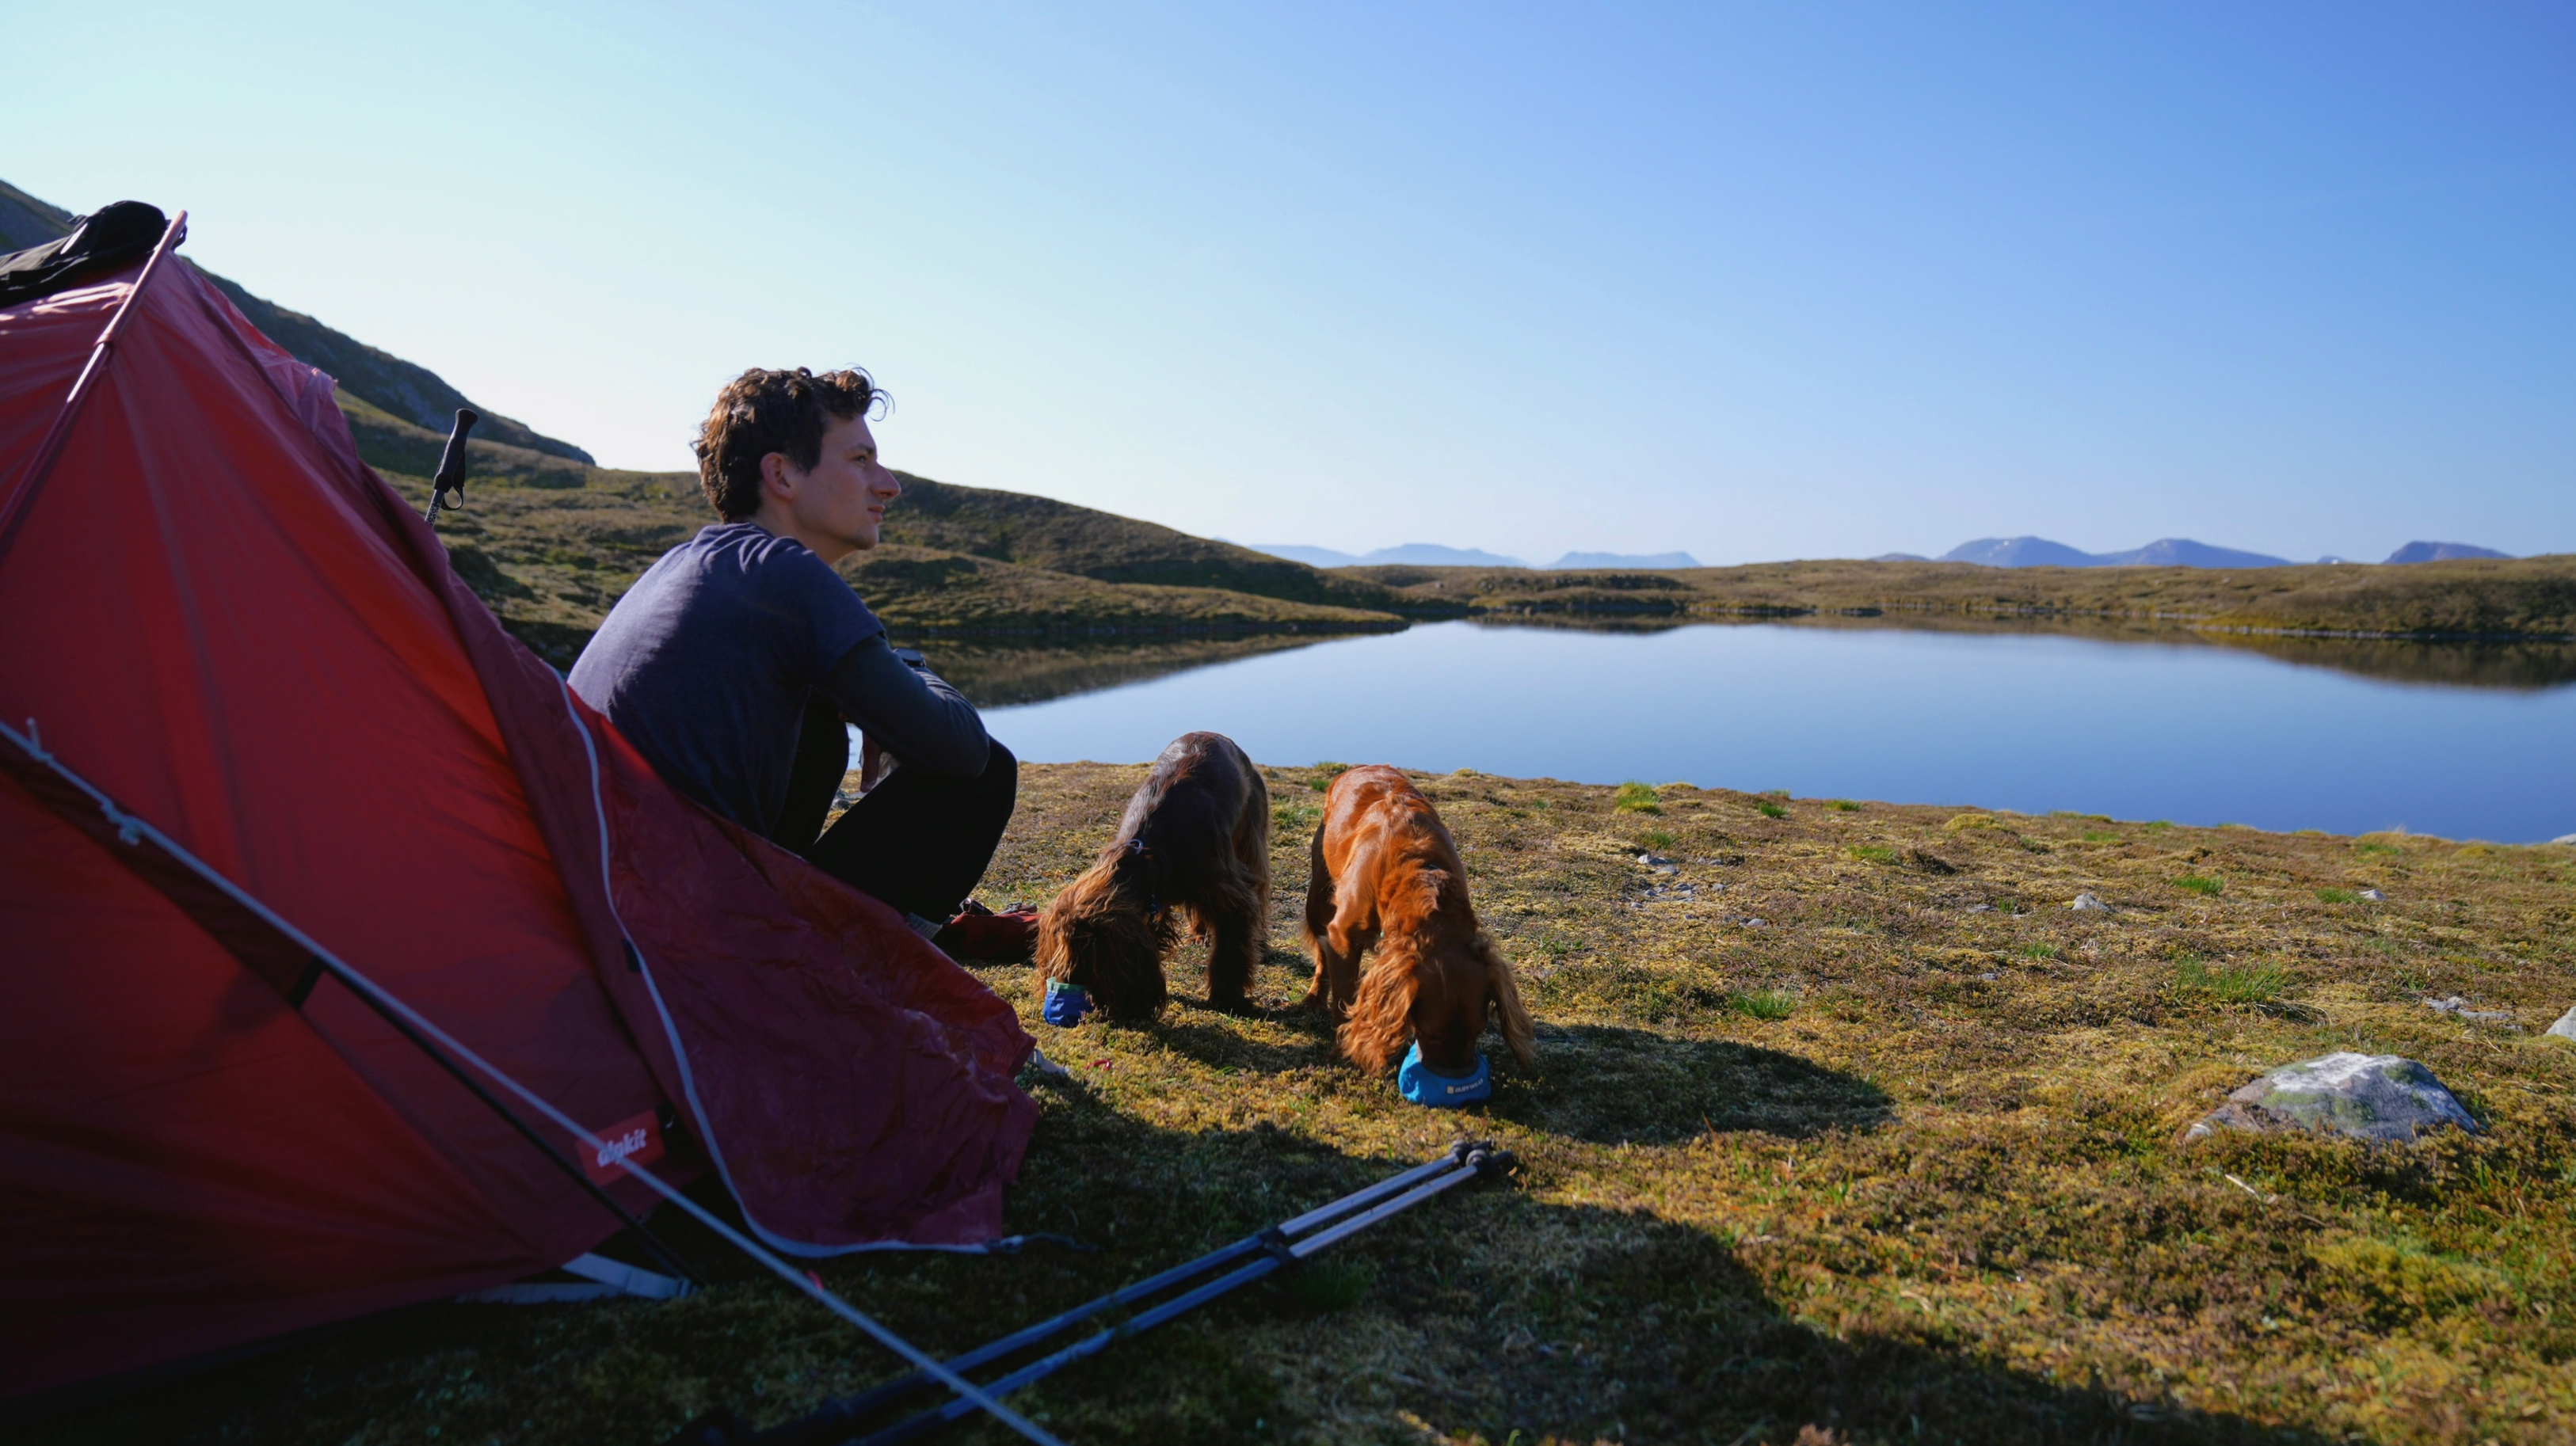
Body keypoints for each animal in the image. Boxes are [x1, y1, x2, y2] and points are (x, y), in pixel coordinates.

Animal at [1030, 730, 1262, 1014]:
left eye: (1086, 961)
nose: (1090, 1006)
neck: (1147, 852)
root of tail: (1216, 735)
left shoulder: (1228, 892)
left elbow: (1230, 952)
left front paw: (1227, 997)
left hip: (1251, 830)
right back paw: (1199, 932)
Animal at [1309, 767, 1525, 1070]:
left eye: (1477, 1031)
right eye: (1431, 1034)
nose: (1455, 1078)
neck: (1415, 868)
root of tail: (1361, 767)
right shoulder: (1342, 935)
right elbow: (1343, 996)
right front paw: (1345, 1049)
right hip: (1319, 896)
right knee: (1322, 960)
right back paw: (1312, 999)